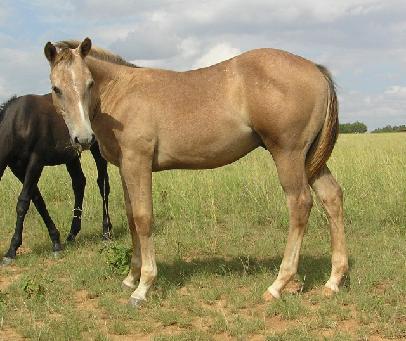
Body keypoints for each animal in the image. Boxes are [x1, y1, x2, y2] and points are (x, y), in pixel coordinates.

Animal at [0, 93, 112, 262]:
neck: (18, 122)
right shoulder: (18, 168)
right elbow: (38, 201)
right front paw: (56, 241)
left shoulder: (36, 162)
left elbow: (23, 202)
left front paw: (12, 249)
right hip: (71, 157)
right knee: (79, 183)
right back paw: (72, 234)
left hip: (97, 148)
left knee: (103, 184)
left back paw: (106, 231)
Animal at [44, 38, 348, 306]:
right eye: (56, 89)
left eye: (89, 84)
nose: (83, 139)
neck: (121, 91)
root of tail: (315, 69)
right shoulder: (124, 168)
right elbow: (131, 219)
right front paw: (131, 278)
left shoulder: (137, 162)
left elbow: (143, 219)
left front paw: (143, 287)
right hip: (309, 159)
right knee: (332, 197)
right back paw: (333, 281)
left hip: (288, 154)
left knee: (300, 204)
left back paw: (277, 285)